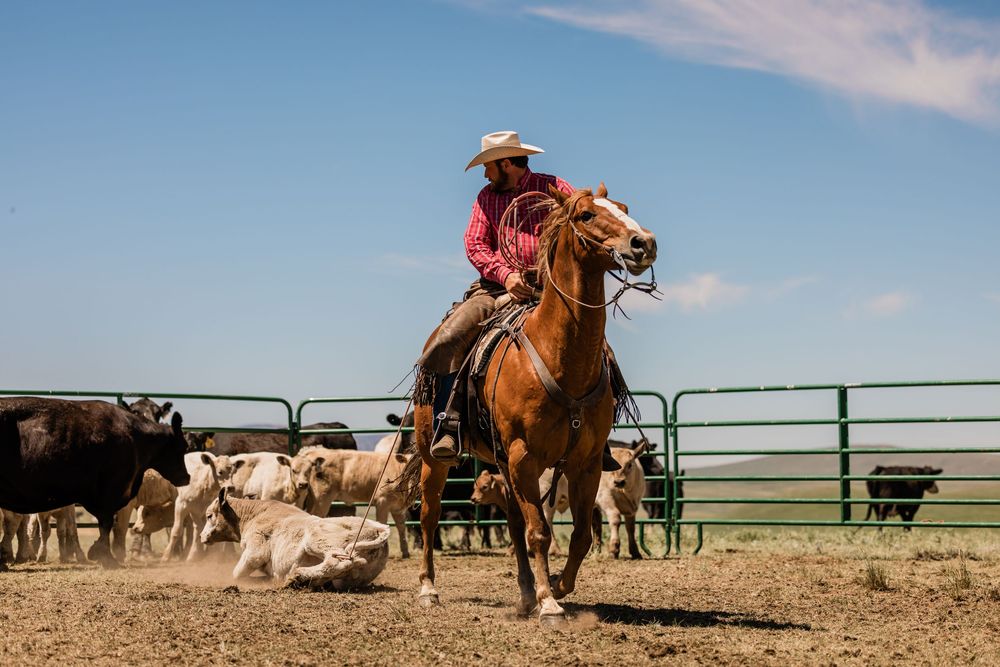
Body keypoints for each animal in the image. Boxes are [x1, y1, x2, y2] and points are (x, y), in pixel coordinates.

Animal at [0, 397, 190, 567]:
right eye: (183, 447)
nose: (186, 477)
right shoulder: (110, 492)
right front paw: (106, 556)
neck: (135, 438)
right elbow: (107, 523)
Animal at [200, 490, 391, 589]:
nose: (202, 537)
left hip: (316, 540)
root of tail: (377, 528)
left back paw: (297, 576)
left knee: (336, 562)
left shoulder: (255, 551)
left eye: (209, 516)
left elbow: (237, 574)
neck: (253, 514)